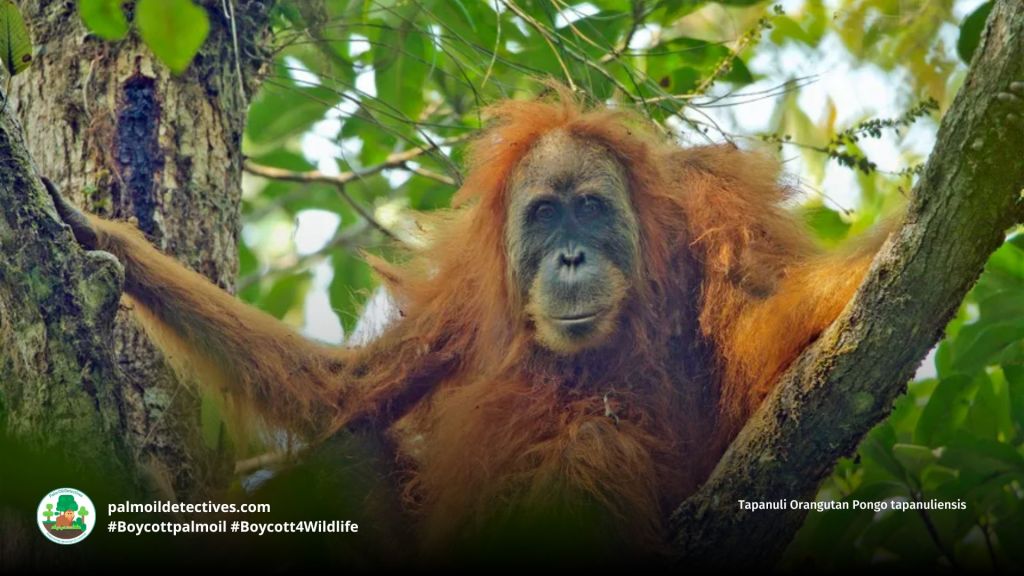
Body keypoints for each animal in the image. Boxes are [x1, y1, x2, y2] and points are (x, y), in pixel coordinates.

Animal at [43, 89, 889, 565]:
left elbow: (763, 328)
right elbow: (349, 389)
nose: (572, 256)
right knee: (354, 446)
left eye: (591, 208)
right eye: (544, 215)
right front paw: (106, 239)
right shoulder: (469, 296)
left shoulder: (720, 211)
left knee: (595, 439)